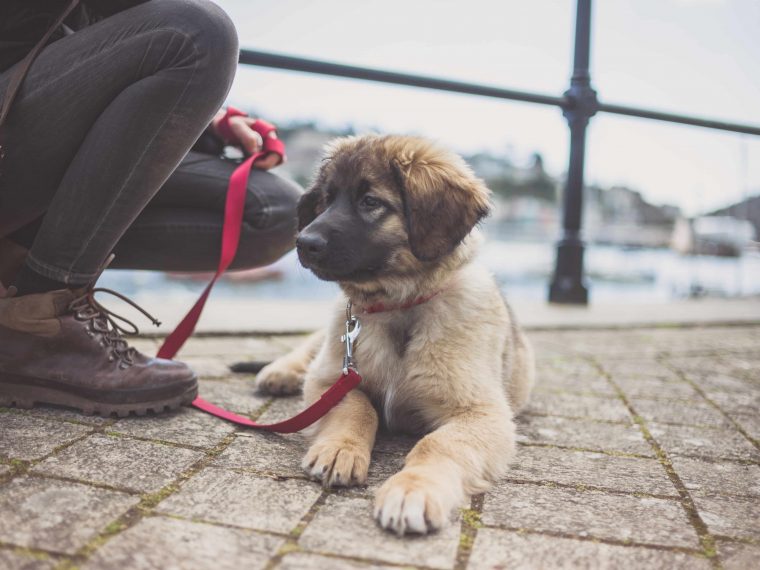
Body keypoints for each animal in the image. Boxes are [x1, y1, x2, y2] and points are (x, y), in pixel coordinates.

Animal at [258, 134, 536, 532]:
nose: (302, 242)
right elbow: (358, 408)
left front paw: (413, 489)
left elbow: (438, 443)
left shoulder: (482, 413)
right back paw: (280, 372)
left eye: (370, 202)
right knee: (309, 348)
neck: (399, 308)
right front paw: (340, 449)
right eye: (327, 199)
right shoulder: (330, 379)